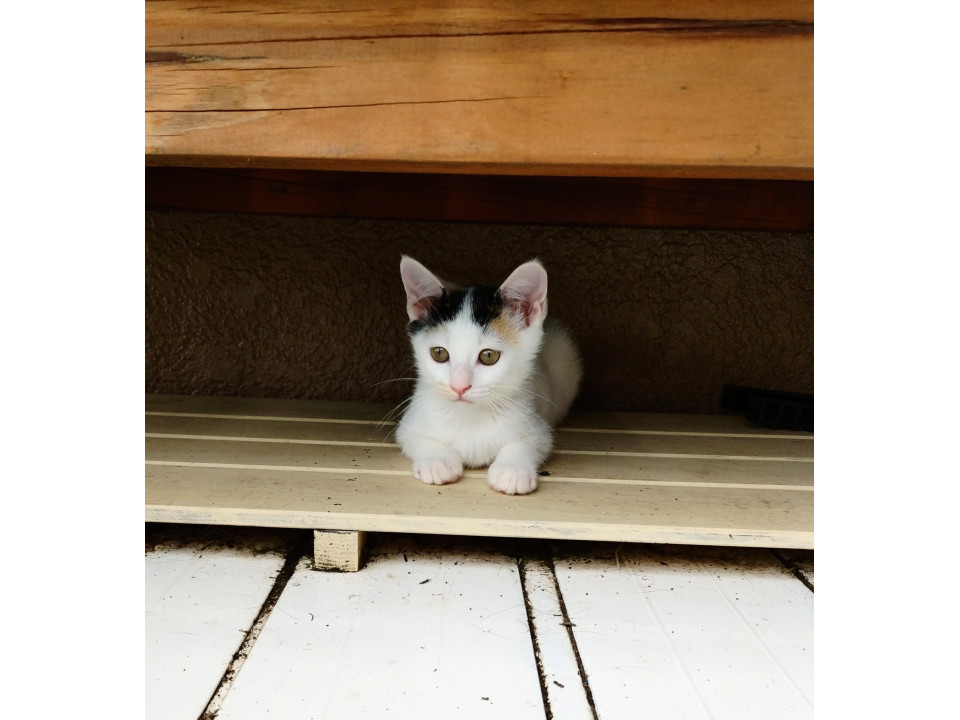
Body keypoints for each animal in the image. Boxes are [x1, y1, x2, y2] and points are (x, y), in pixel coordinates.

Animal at [395, 256, 582, 495]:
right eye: (439, 353)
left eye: (489, 356)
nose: (459, 386)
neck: (471, 417)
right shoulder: (409, 424)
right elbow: (416, 438)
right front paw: (437, 462)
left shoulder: (538, 427)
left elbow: (528, 442)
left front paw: (512, 470)